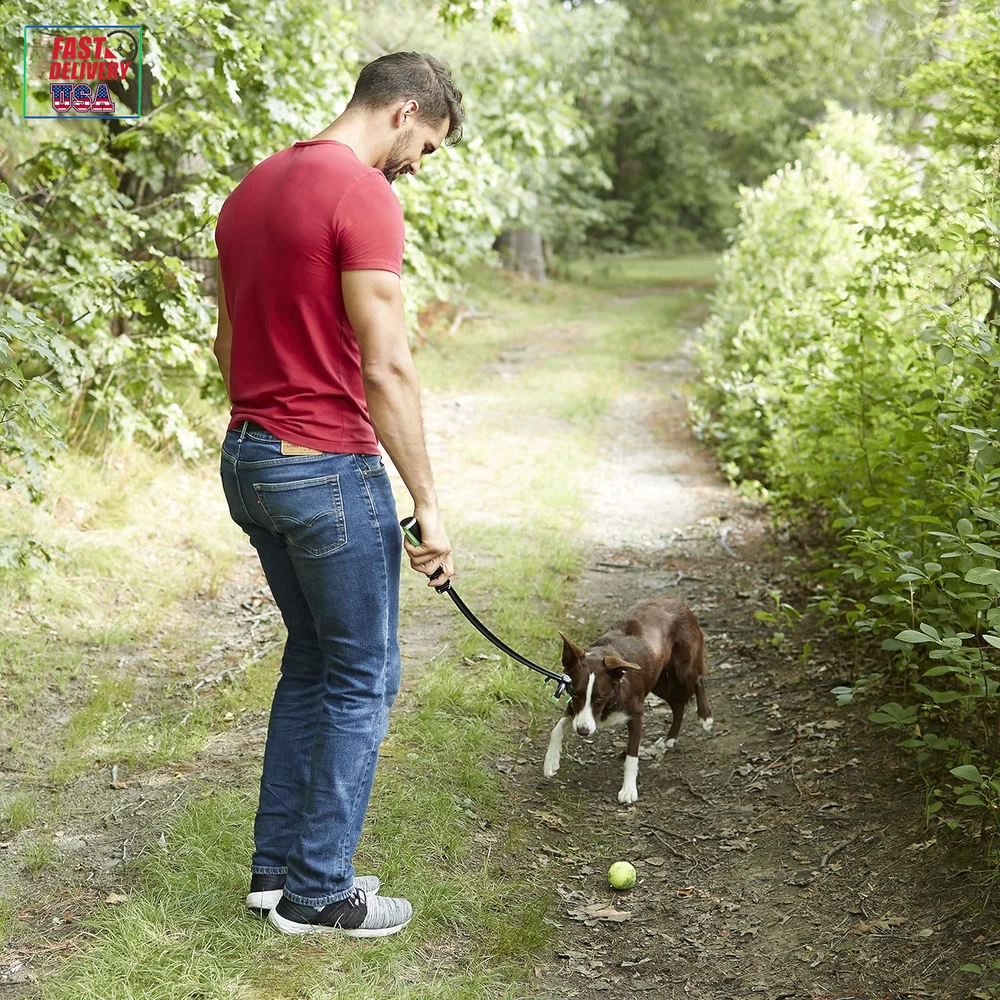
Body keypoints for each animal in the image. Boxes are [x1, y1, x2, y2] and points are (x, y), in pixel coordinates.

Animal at [543, 596, 712, 804]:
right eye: (575, 694)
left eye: (600, 697)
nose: (582, 731)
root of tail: (677, 601)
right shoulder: (575, 709)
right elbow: (557, 728)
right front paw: (551, 761)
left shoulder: (636, 714)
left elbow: (631, 757)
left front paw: (629, 790)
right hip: (658, 681)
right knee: (678, 705)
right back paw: (670, 739)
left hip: (683, 668)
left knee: (698, 679)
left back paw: (705, 717)